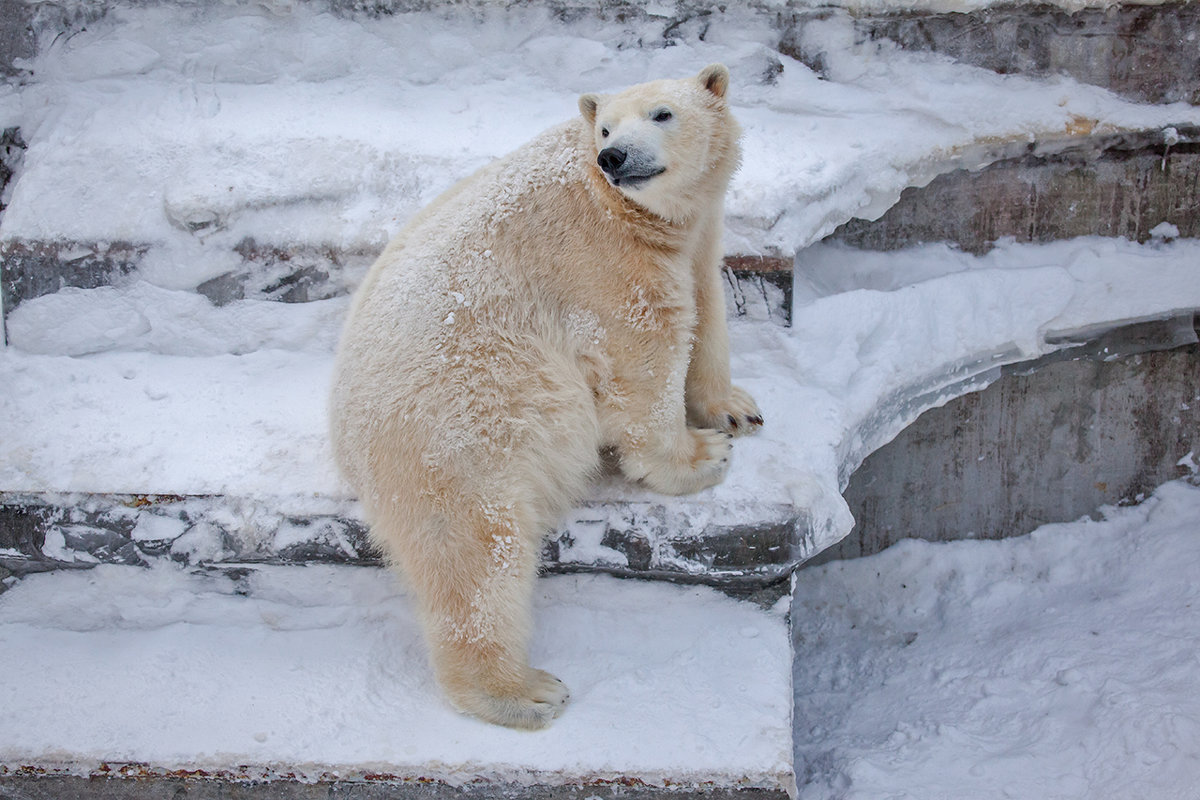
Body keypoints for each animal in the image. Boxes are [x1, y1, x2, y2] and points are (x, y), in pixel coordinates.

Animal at [328, 65, 758, 734]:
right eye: (605, 128)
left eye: (662, 114)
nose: (614, 156)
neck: (623, 208)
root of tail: (346, 439)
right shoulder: (598, 259)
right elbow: (643, 348)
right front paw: (701, 458)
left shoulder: (693, 233)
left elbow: (705, 303)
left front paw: (734, 408)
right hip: (459, 432)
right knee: (477, 555)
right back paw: (524, 692)